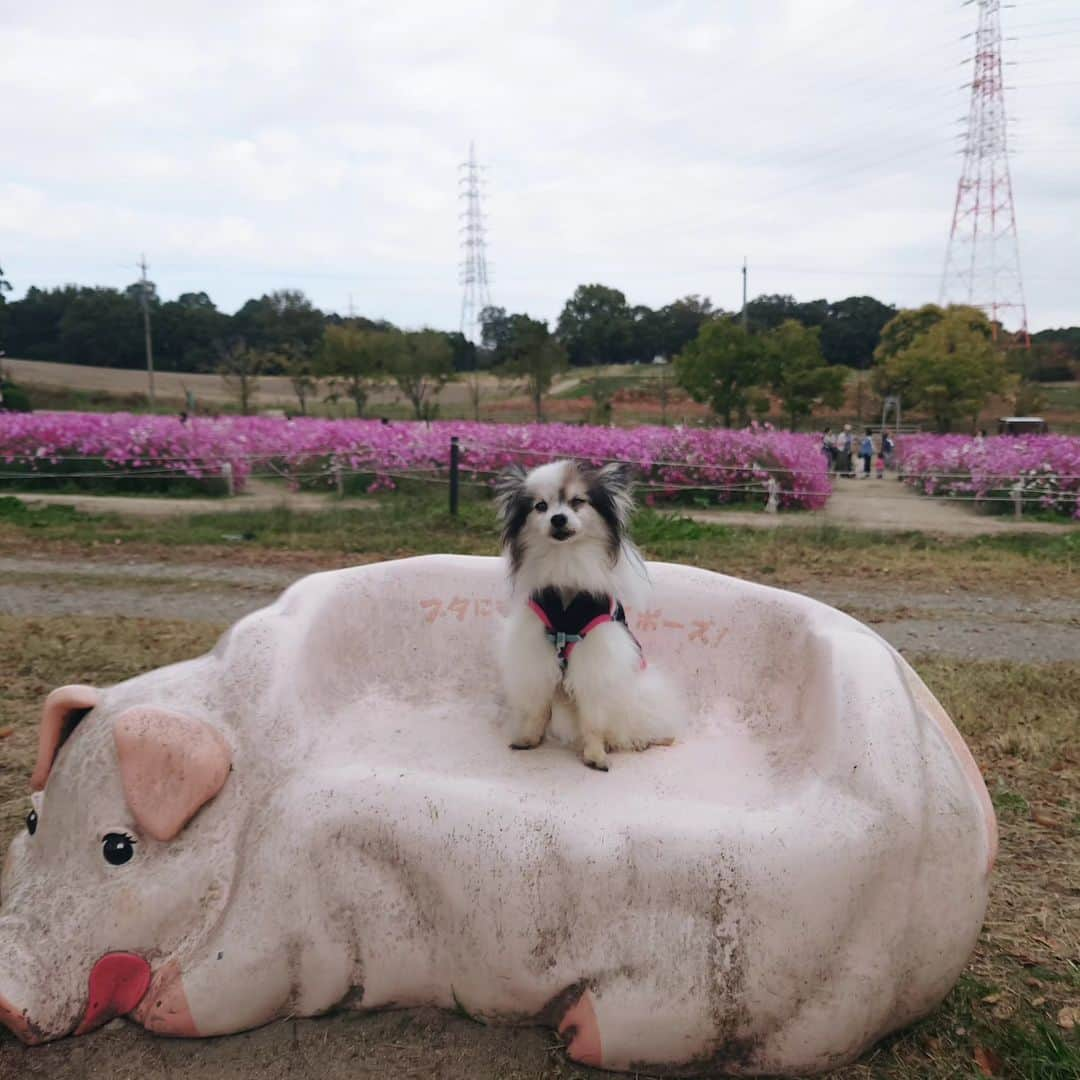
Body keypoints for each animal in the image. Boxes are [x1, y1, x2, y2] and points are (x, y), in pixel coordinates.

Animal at [0, 552, 993, 1075]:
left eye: (120, 848)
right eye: (31, 819)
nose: (5, 1002)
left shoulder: (292, 914)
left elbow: (229, 979)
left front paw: (168, 1006)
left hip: (776, 950)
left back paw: (576, 1032)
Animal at [494, 455, 678, 768]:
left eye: (577, 501)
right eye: (540, 506)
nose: (558, 518)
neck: (565, 561)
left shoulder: (595, 660)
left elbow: (593, 719)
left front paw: (595, 755)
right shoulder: (537, 653)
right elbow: (538, 709)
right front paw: (529, 739)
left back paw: (635, 741)